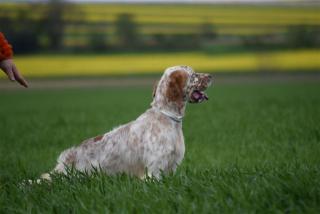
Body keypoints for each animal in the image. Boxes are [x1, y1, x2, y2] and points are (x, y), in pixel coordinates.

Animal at [38, 65, 212, 181]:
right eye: (193, 75)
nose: (211, 76)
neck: (166, 117)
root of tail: (66, 160)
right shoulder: (154, 169)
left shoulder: (171, 166)